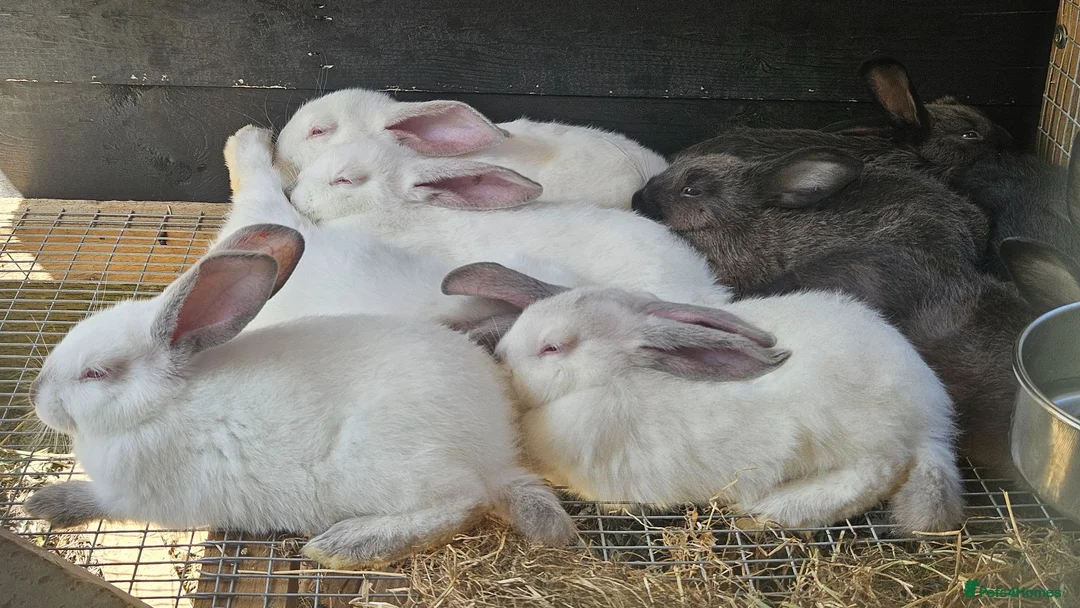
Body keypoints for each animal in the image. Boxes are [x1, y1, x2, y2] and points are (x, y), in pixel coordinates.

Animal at [22, 230, 577, 568]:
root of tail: (497, 450)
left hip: (388, 466)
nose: (35, 394)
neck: (162, 406)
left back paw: (347, 545)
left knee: (461, 503)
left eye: (96, 373)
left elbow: (98, 500)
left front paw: (45, 502)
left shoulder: (136, 495)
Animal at [440, 262, 965, 535]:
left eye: (553, 348)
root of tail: (932, 417)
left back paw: (773, 509)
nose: (502, 357)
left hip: (859, 442)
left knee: (874, 474)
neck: (615, 380)